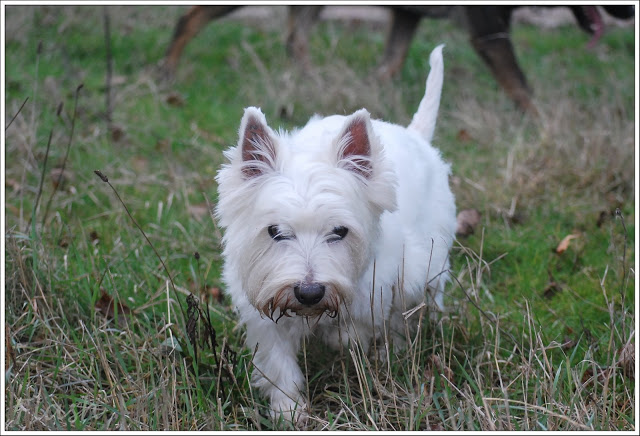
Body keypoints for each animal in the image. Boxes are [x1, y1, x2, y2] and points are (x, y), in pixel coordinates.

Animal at [215, 45, 456, 422]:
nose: (309, 293)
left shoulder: (376, 291)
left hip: (425, 261)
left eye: (340, 231)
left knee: (415, 307)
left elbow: (355, 330)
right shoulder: (263, 314)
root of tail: (415, 134)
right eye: (275, 231)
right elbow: (279, 365)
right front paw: (289, 412)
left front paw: (341, 341)